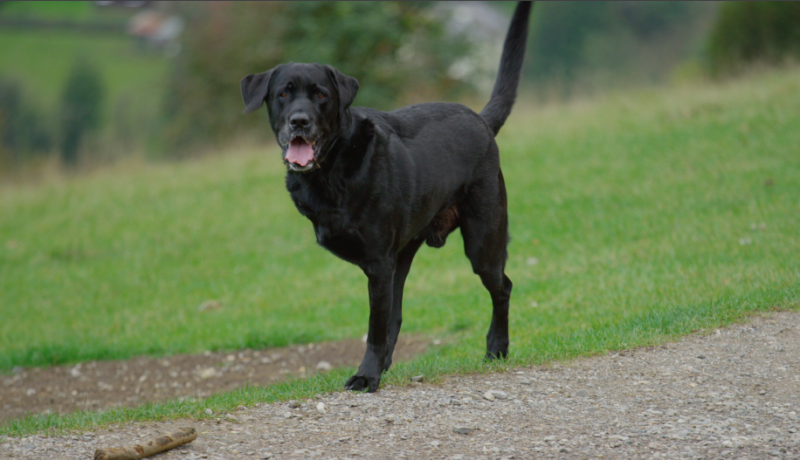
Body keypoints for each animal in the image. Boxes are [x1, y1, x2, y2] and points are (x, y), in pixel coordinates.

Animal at [241, 1, 536, 394]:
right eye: (283, 94)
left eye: (321, 95)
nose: (299, 121)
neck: (331, 170)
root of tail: (481, 120)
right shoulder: (386, 264)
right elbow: (385, 322)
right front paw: (374, 370)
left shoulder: (379, 263)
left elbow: (375, 327)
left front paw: (366, 376)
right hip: (406, 254)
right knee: (398, 315)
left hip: (482, 242)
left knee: (502, 287)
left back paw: (496, 349)